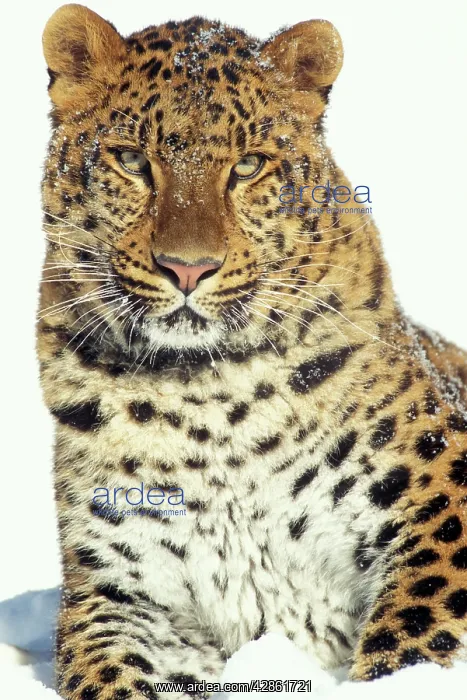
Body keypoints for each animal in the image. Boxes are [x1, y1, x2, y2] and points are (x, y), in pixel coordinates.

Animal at [37, 4, 467, 699]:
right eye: (131, 160)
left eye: (247, 167)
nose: (187, 268)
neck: (209, 399)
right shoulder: (117, 592)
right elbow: (105, 675)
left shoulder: (441, 491)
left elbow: (418, 631)